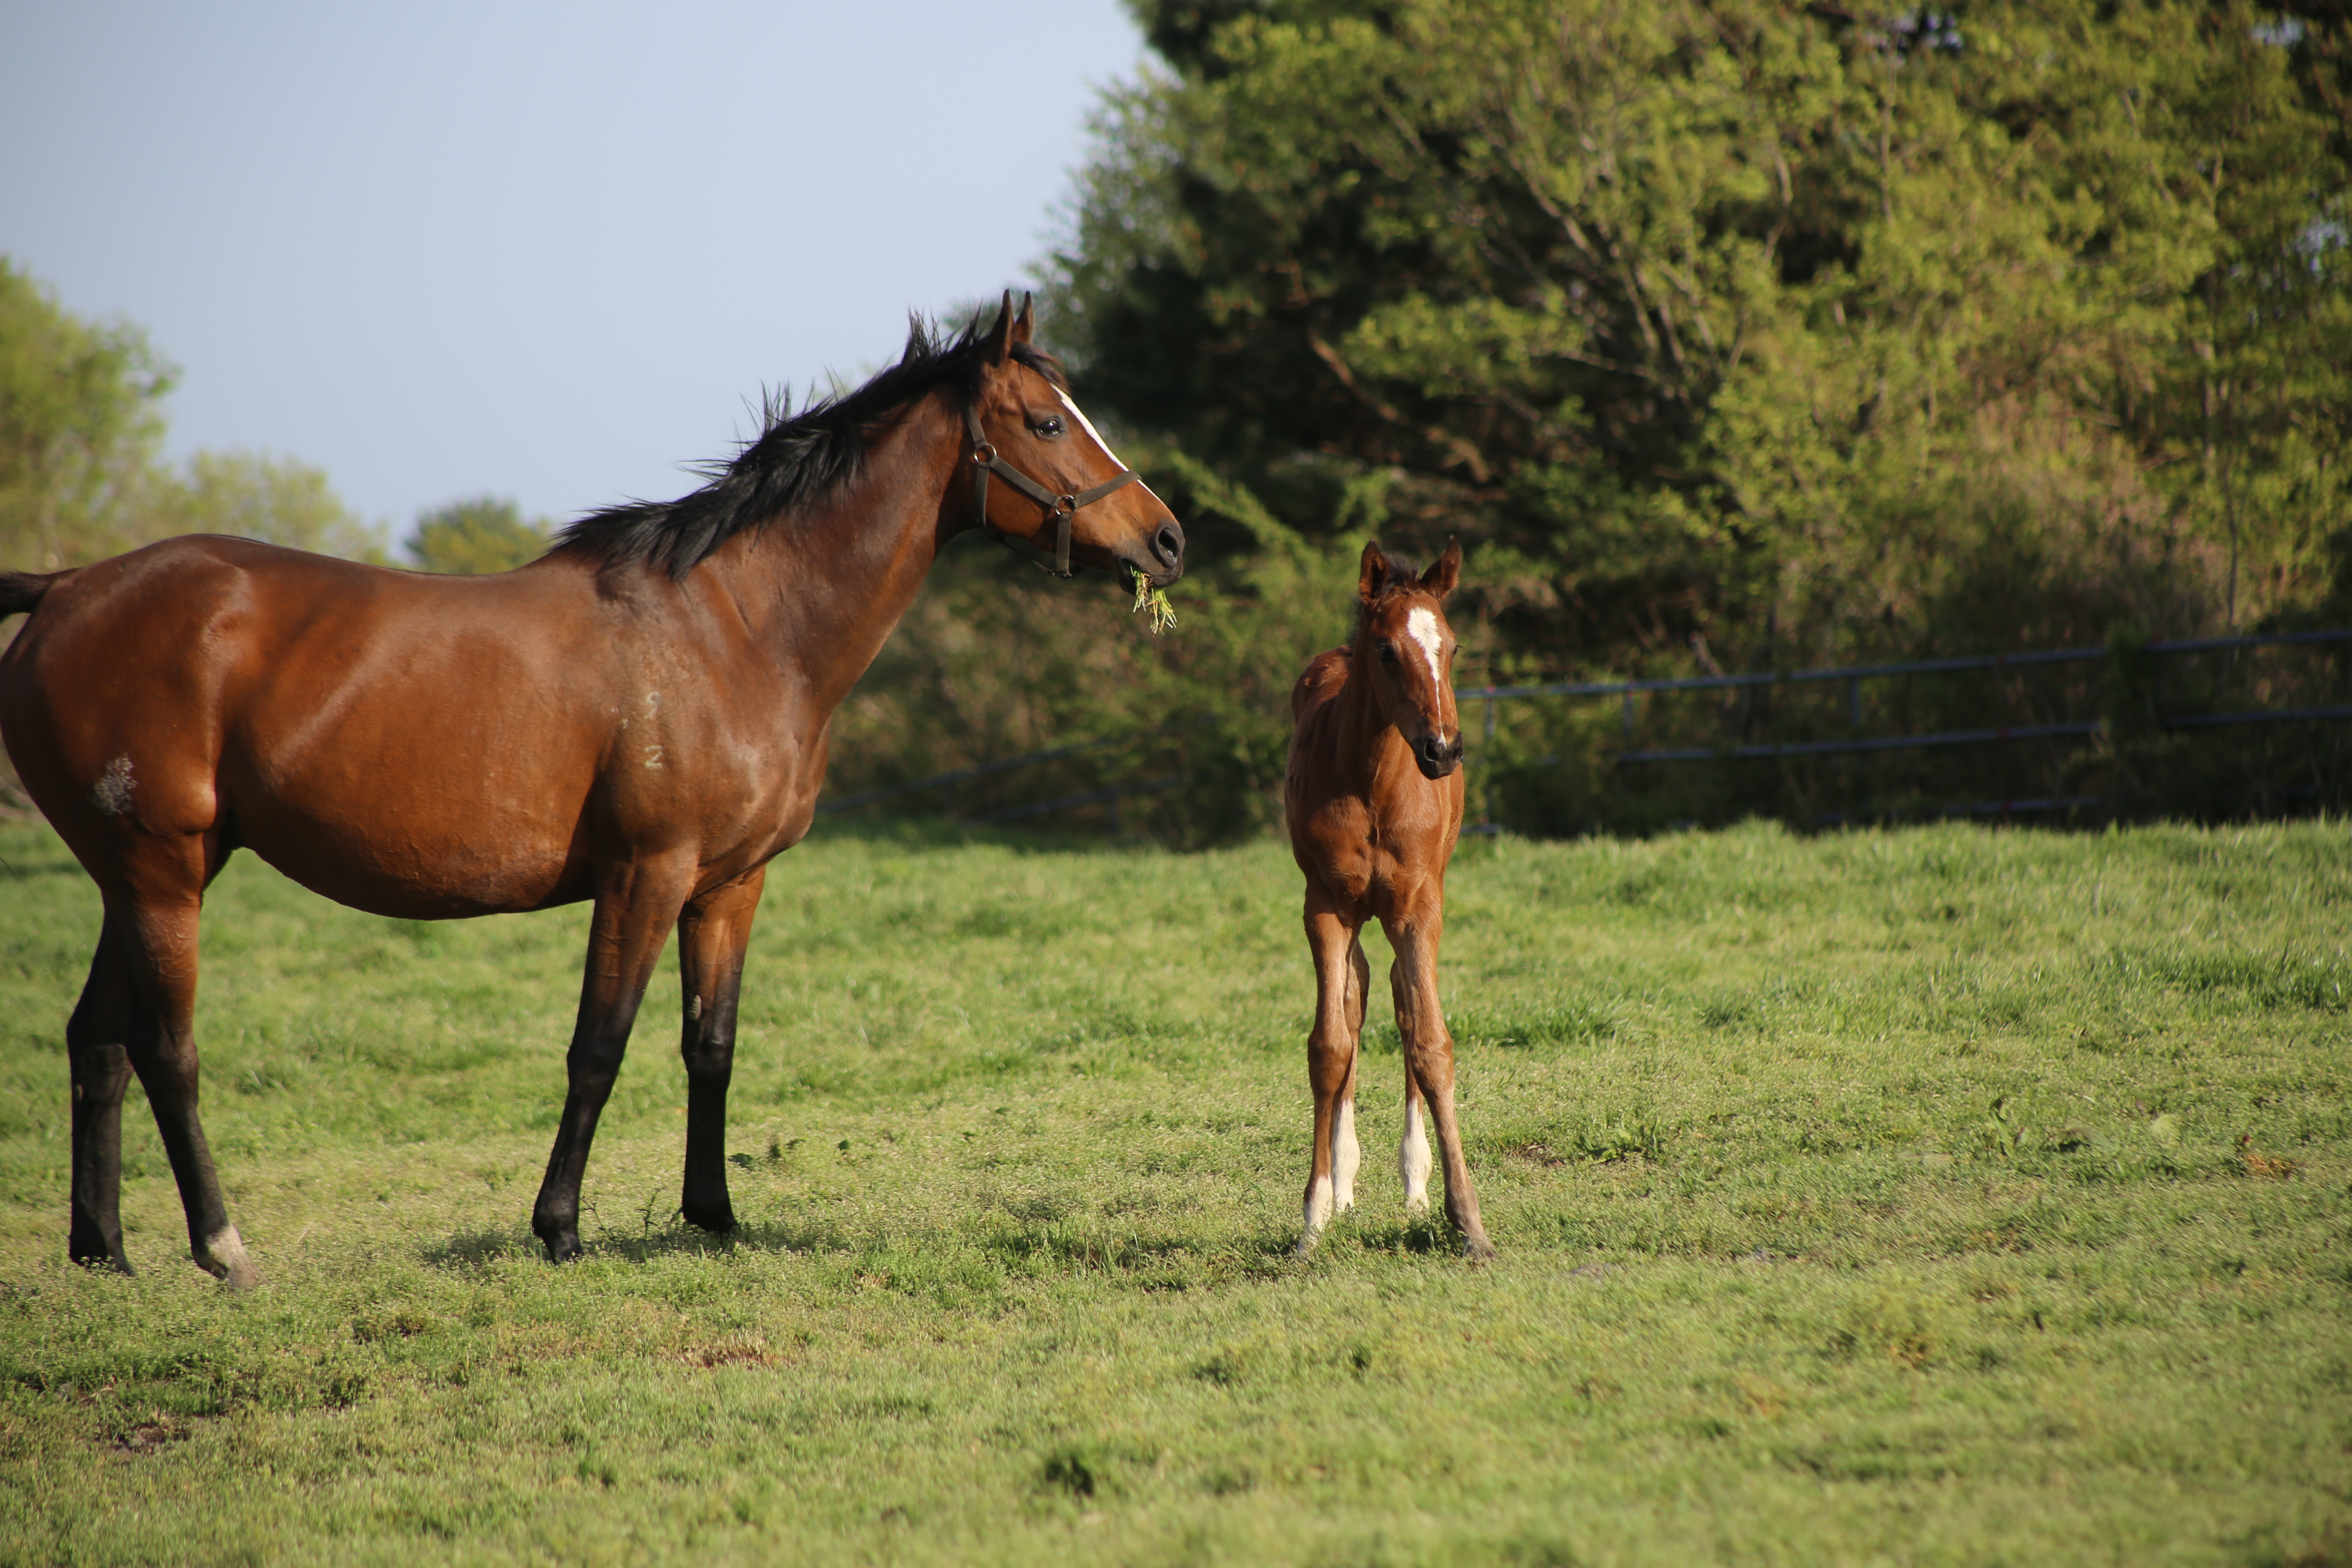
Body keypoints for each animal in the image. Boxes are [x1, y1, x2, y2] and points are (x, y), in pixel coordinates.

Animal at [0, 294, 1176, 1288]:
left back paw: (104, 1253)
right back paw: (221, 1247)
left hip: (140, 877)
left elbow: (711, 1047)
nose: (1166, 538)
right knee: (166, 1050)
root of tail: (67, 588)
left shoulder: (729, 887)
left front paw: (716, 1217)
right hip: (163, 874)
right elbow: (598, 1048)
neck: (735, 629)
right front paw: (560, 1229)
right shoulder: (644, 876)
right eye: (1048, 422)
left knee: (96, 1041)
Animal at [1289, 541, 1486, 1260]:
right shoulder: (1325, 905)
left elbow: (1430, 1042)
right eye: (1386, 650)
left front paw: (1468, 1220)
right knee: (1357, 995)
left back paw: (1414, 1184)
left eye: (1453, 647)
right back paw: (1345, 1186)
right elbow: (1330, 1046)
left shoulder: (1417, 906)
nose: (1442, 750)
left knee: (1401, 998)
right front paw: (1314, 1216)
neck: (1373, 781)